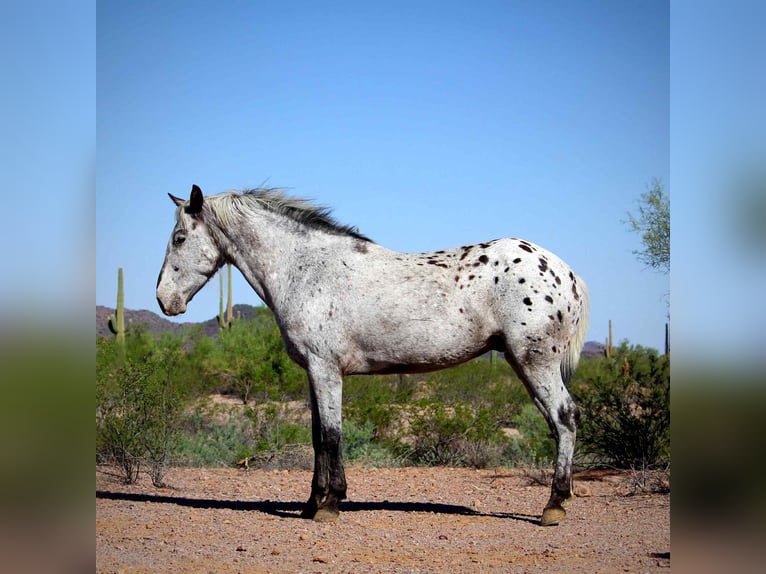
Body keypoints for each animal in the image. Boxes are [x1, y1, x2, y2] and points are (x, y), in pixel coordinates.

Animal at [157, 184, 590, 526]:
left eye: (179, 237)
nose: (164, 300)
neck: (305, 268)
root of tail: (566, 273)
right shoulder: (314, 373)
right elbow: (317, 437)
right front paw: (312, 503)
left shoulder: (326, 370)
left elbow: (331, 435)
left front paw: (330, 504)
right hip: (524, 363)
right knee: (558, 423)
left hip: (535, 362)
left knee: (564, 418)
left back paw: (553, 506)